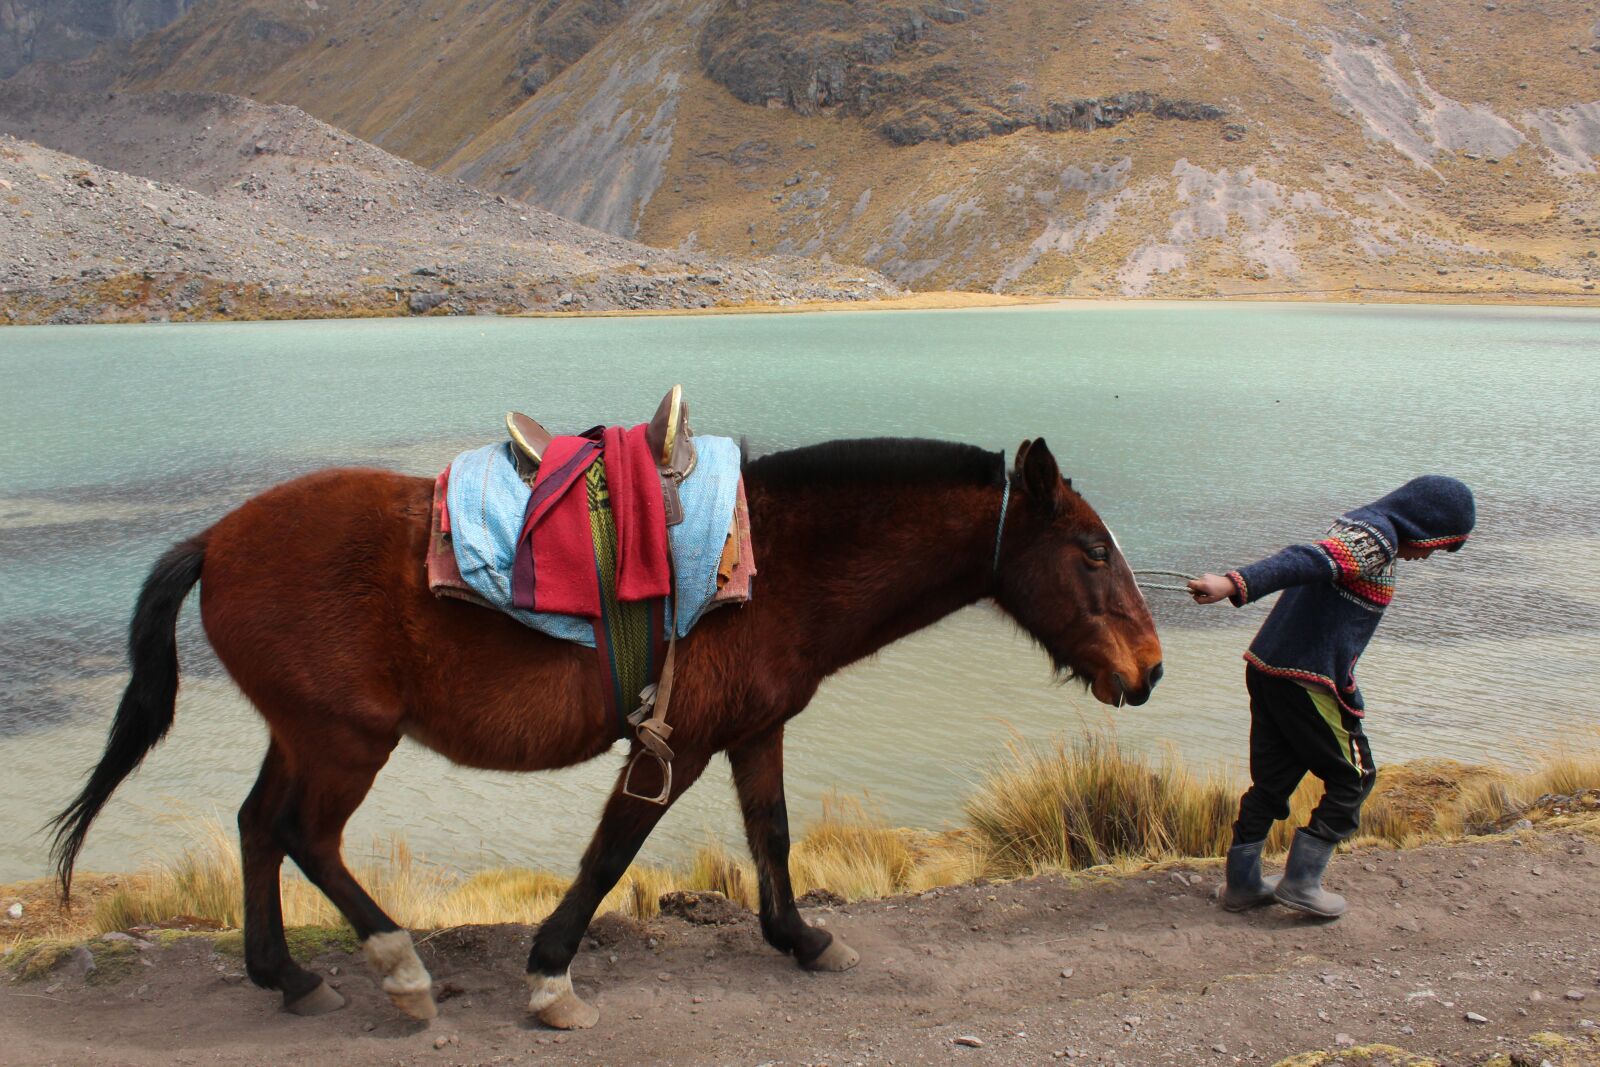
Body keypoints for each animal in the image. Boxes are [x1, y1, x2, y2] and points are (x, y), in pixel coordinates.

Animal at [50, 435, 1163, 1030]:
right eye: (1090, 548)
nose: (1149, 669)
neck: (772, 566)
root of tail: (216, 537)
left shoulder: (754, 731)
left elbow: (772, 835)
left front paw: (802, 939)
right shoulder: (673, 744)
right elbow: (609, 852)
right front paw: (550, 978)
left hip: (304, 730)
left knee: (254, 826)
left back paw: (287, 975)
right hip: (345, 739)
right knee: (303, 835)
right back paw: (400, 971)